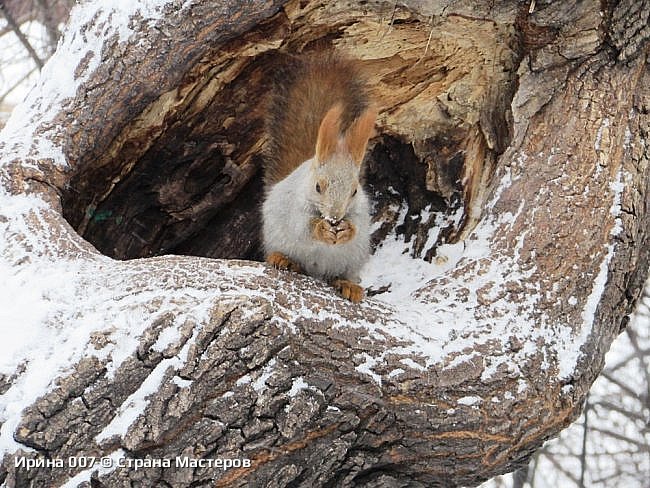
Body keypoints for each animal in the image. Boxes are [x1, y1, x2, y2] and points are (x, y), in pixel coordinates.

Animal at [262, 55, 378, 304]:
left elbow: (357, 227)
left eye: (354, 191)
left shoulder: (361, 211)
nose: (334, 217)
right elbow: (303, 228)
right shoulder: (294, 208)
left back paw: (347, 285)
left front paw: (346, 230)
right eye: (318, 186)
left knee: (337, 276)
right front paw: (321, 229)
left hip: (351, 260)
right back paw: (284, 260)